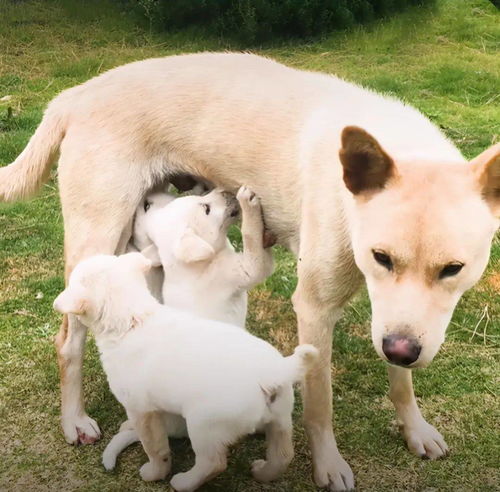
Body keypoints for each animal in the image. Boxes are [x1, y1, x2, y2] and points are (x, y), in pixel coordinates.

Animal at [53, 254, 316, 492]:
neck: (134, 319)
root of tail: (272, 373)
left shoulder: (142, 411)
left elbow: (156, 449)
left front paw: (154, 473)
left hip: (203, 425)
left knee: (214, 462)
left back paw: (184, 482)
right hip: (281, 419)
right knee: (283, 454)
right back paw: (262, 472)